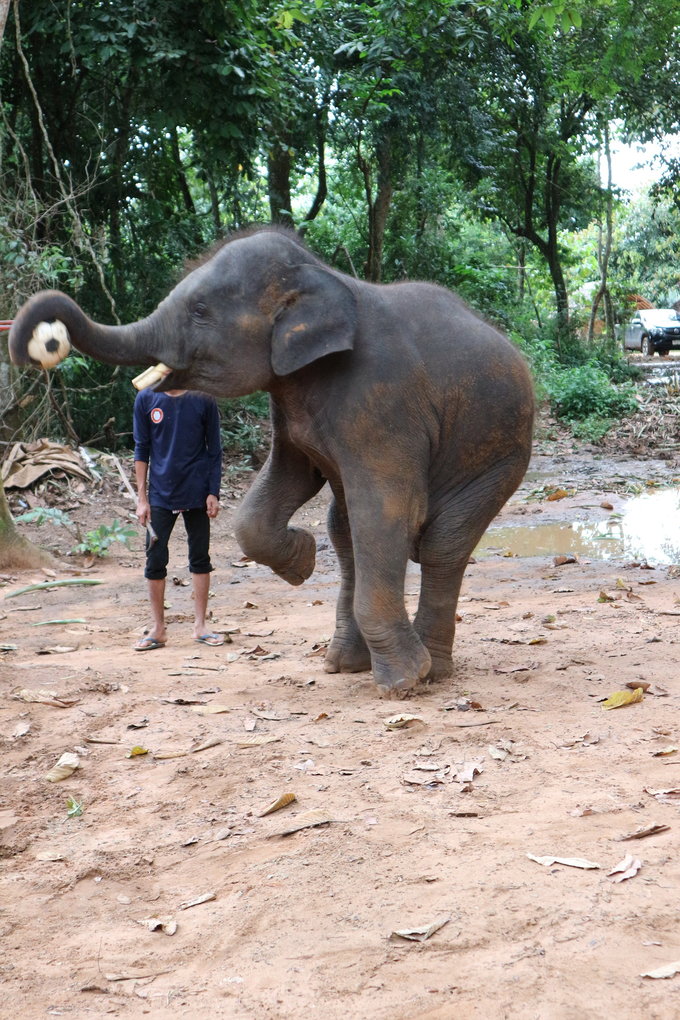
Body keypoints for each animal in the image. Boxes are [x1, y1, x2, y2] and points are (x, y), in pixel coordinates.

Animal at [7, 227, 534, 697]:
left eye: (200, 311)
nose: (42, 342)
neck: (324, 275)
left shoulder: (383, 403)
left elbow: (386, 513)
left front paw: (403, 685)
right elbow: (284, 486)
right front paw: (301, 561)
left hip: (502, 454)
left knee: (441, 544)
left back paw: (431, 673)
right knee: (345, 533)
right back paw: (346, 663)